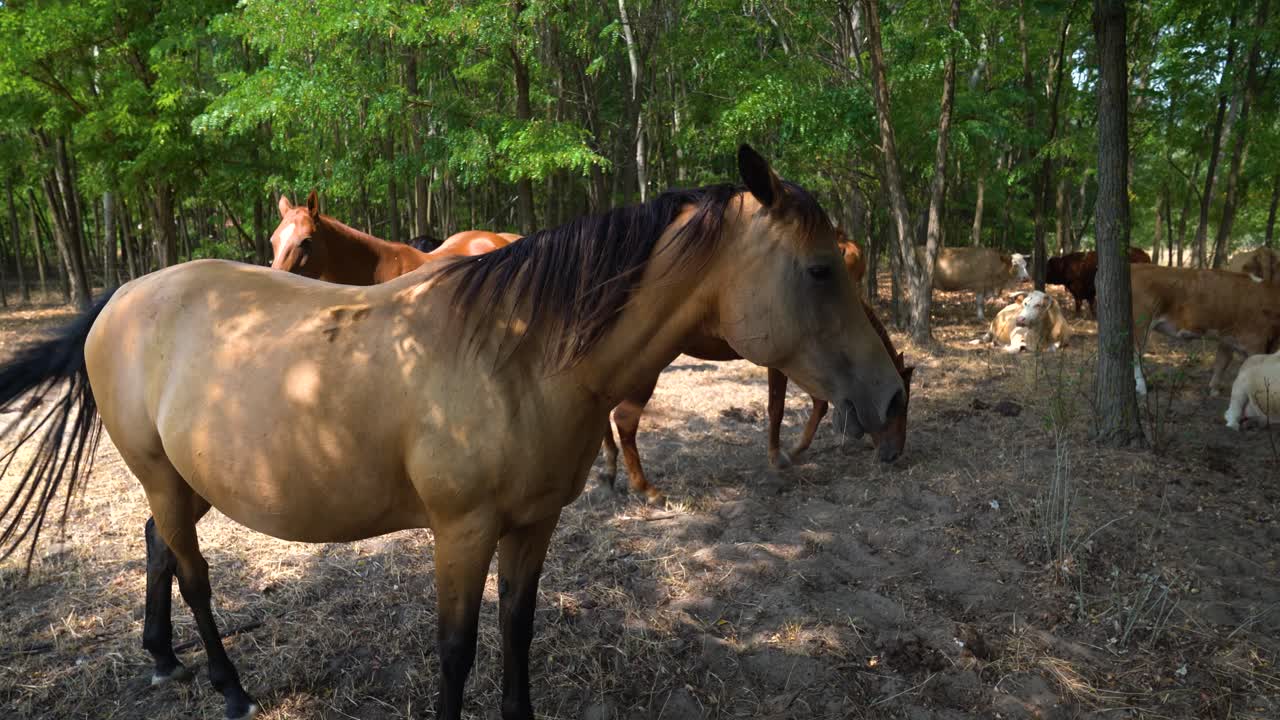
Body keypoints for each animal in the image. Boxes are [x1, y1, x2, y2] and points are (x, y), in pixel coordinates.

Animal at [598, 238, 914, 503]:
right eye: (898, 404)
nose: (895, 454)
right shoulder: (784, 366)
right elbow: (780, 408)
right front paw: (782, 455)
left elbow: (818, 404)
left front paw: (795, 450)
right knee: (624, 418)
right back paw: (646, 489)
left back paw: (609, 472)